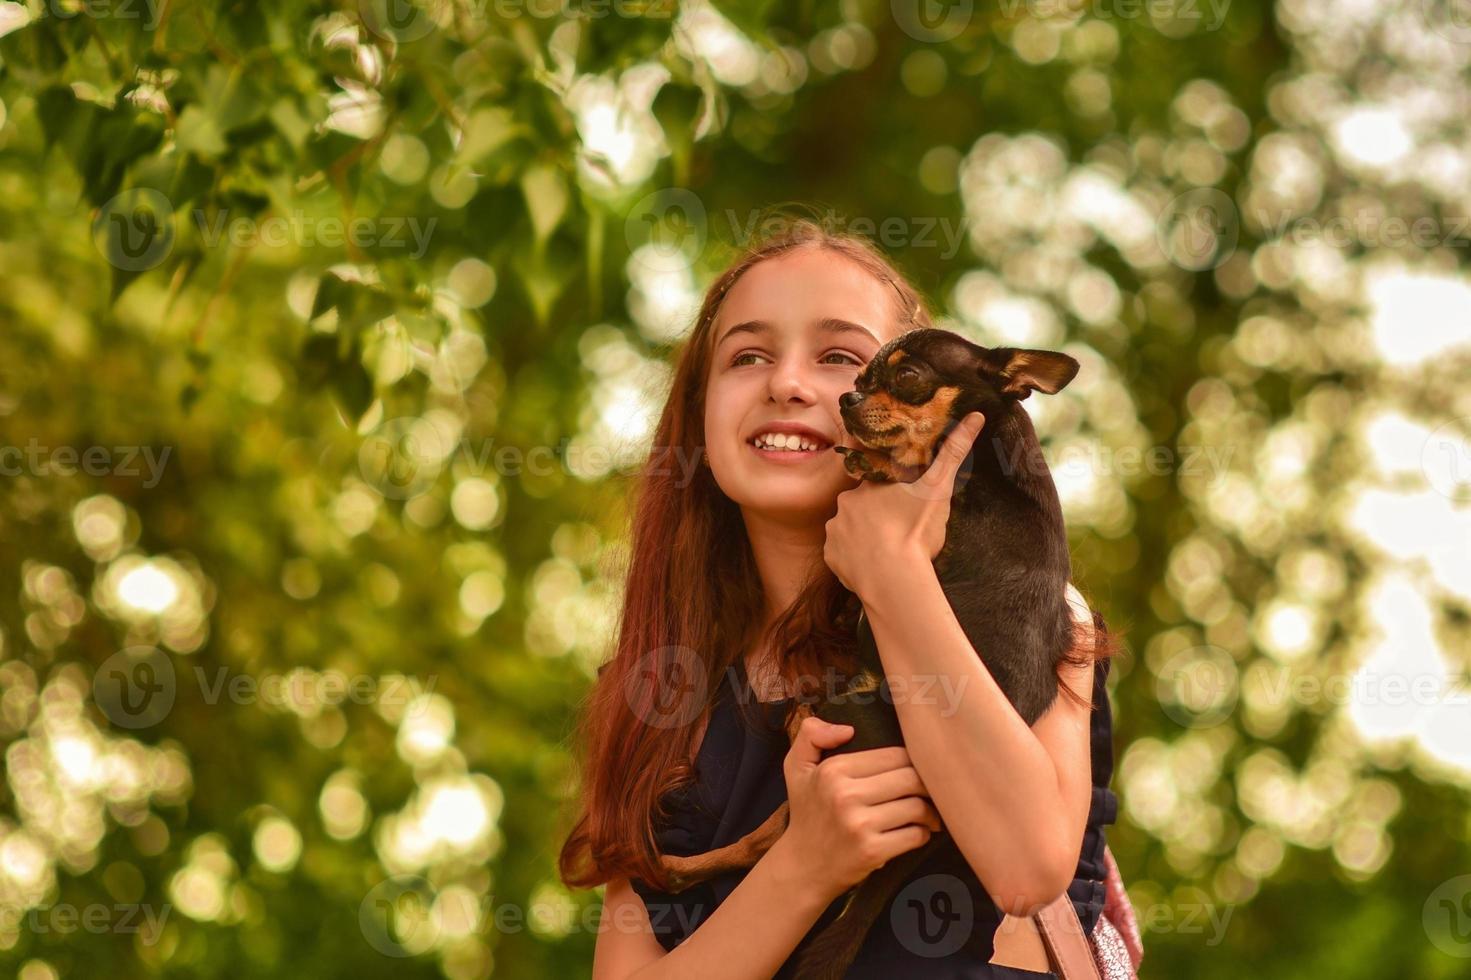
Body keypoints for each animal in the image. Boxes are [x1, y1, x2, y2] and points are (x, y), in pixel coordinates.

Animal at [661, 326, 1088, 971]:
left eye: (908, 376)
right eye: (860, 375)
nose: (847, 398)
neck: (988, 444)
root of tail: (935, 830)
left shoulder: (941, 498)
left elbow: (911, 465)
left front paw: (874, 460)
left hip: (850, 722)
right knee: (765, 838)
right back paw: (683, 869)